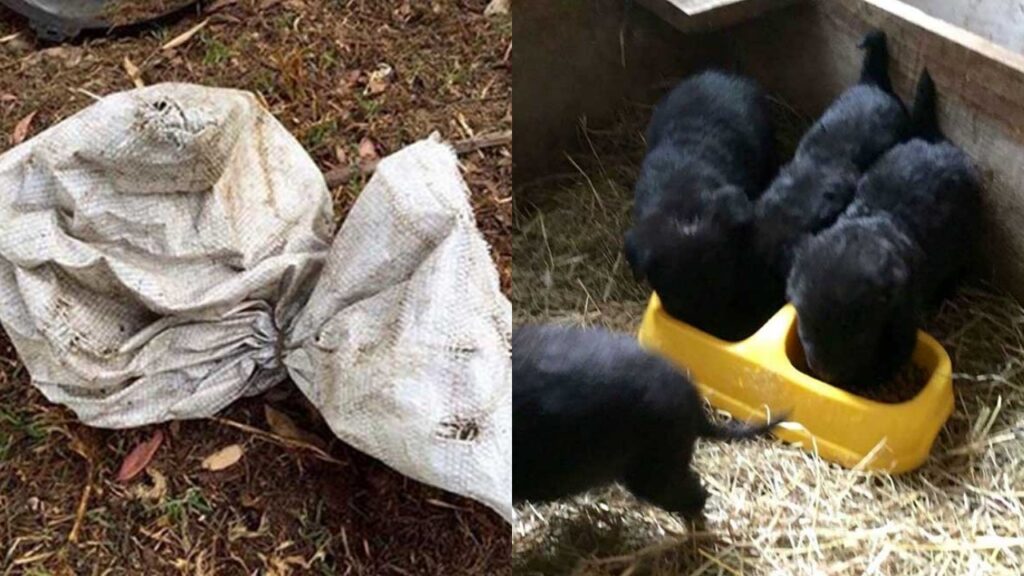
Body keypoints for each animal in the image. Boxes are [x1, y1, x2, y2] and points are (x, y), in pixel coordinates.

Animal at [786, 69, 978, 387]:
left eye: (859, 332)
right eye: (804, 321)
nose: (824, 372)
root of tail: (932, 138)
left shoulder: (903, 317)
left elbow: (895, 352)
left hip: (963, 240)